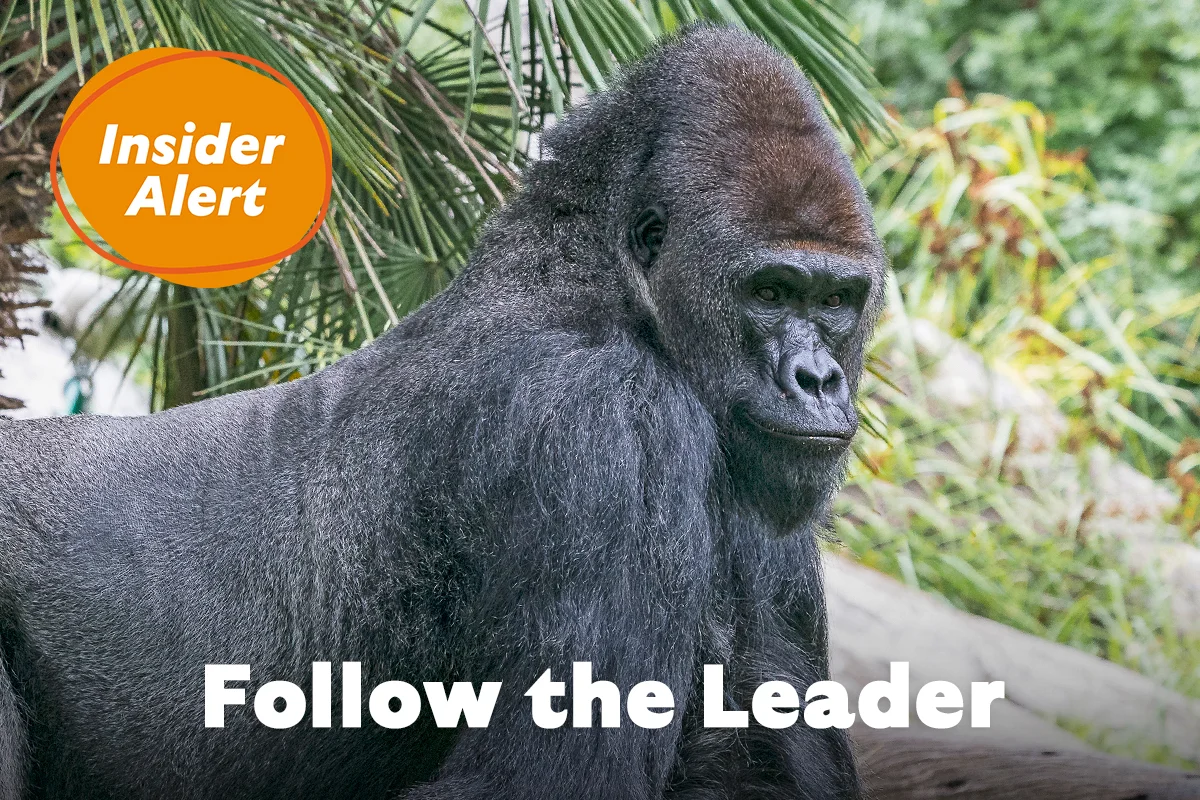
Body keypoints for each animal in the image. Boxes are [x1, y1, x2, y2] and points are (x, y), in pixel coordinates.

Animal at [0, 25, 886, 800]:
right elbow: (533, 784)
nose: (817, 379)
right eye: (770, 291)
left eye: (836, 300)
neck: (601, 278)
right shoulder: (599, 420)